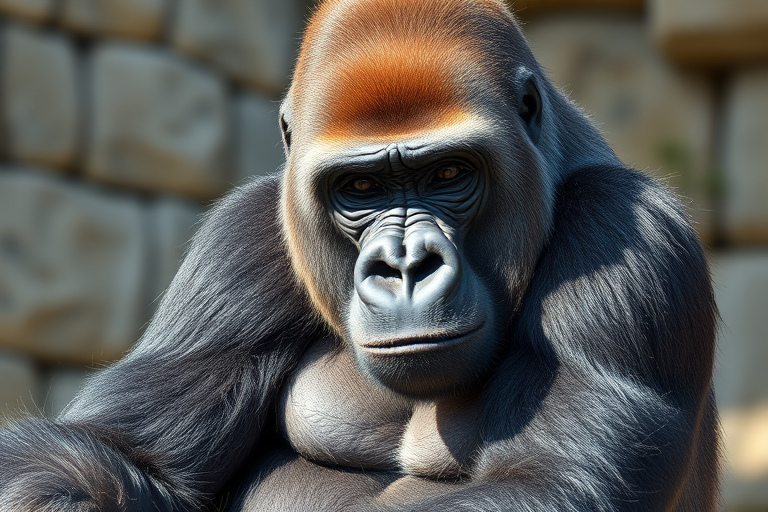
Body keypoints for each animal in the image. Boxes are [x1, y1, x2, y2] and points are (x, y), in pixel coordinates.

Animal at [0, 0, 718, 511]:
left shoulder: (625, 228)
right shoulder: (241, 240)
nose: (404, 267)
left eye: (449, 174)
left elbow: (548, 478)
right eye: (361, 188)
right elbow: (118, 457)